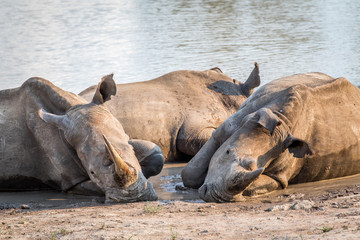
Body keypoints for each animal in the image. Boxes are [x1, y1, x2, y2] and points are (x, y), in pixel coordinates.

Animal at [0, 74, 163, 202]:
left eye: (132, 152)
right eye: (92, 172)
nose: (135, 197)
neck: (73, 108)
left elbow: (157, 154)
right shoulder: (72, 181)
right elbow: (96, 188)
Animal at [183, 72, 360, 202]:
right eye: (227, 152)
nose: (216, 196)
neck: (281, 119)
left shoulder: (279, 173)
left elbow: (264, 182)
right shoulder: (224, 130)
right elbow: (190, 174)